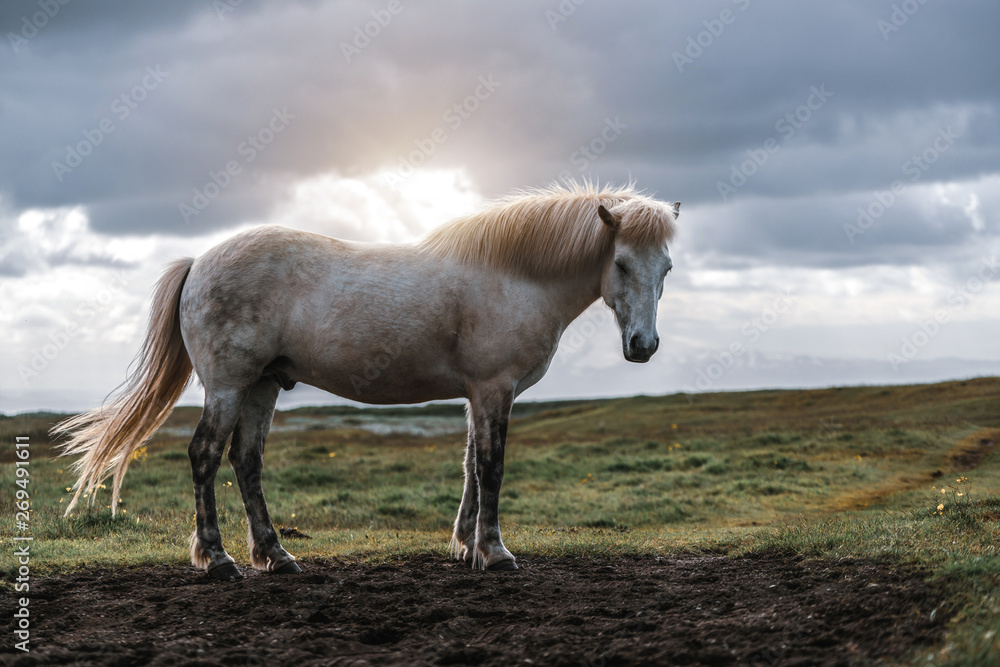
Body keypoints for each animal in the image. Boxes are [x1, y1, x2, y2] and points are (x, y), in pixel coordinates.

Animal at [56, 181, 680, 580]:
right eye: (621, 263)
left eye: (667, 268)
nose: (643, 347)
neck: (513, 275)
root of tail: (199, 262)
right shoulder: (493, 389)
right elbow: (491, 467)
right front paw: (494, 552)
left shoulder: (477, 395)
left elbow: (470, 465)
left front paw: (464, 546)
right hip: (230, 386)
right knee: (205, 456)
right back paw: (218, 559)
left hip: (261, 387)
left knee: (246, 461)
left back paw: (276, 556)